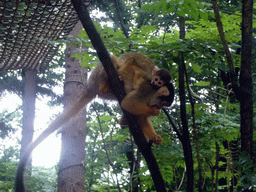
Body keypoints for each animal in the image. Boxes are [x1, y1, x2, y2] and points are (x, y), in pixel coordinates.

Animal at [14, 53, 174, 192]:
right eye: (162, 103)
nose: (159, 108)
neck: (153, 92)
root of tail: (90, 86)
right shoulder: (146, 90)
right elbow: (128, 103)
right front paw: (153, 113)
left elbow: (140, 116)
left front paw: (154, 137)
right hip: (98, 75)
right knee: (114, 60)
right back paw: (111, 81)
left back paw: (122, 118)